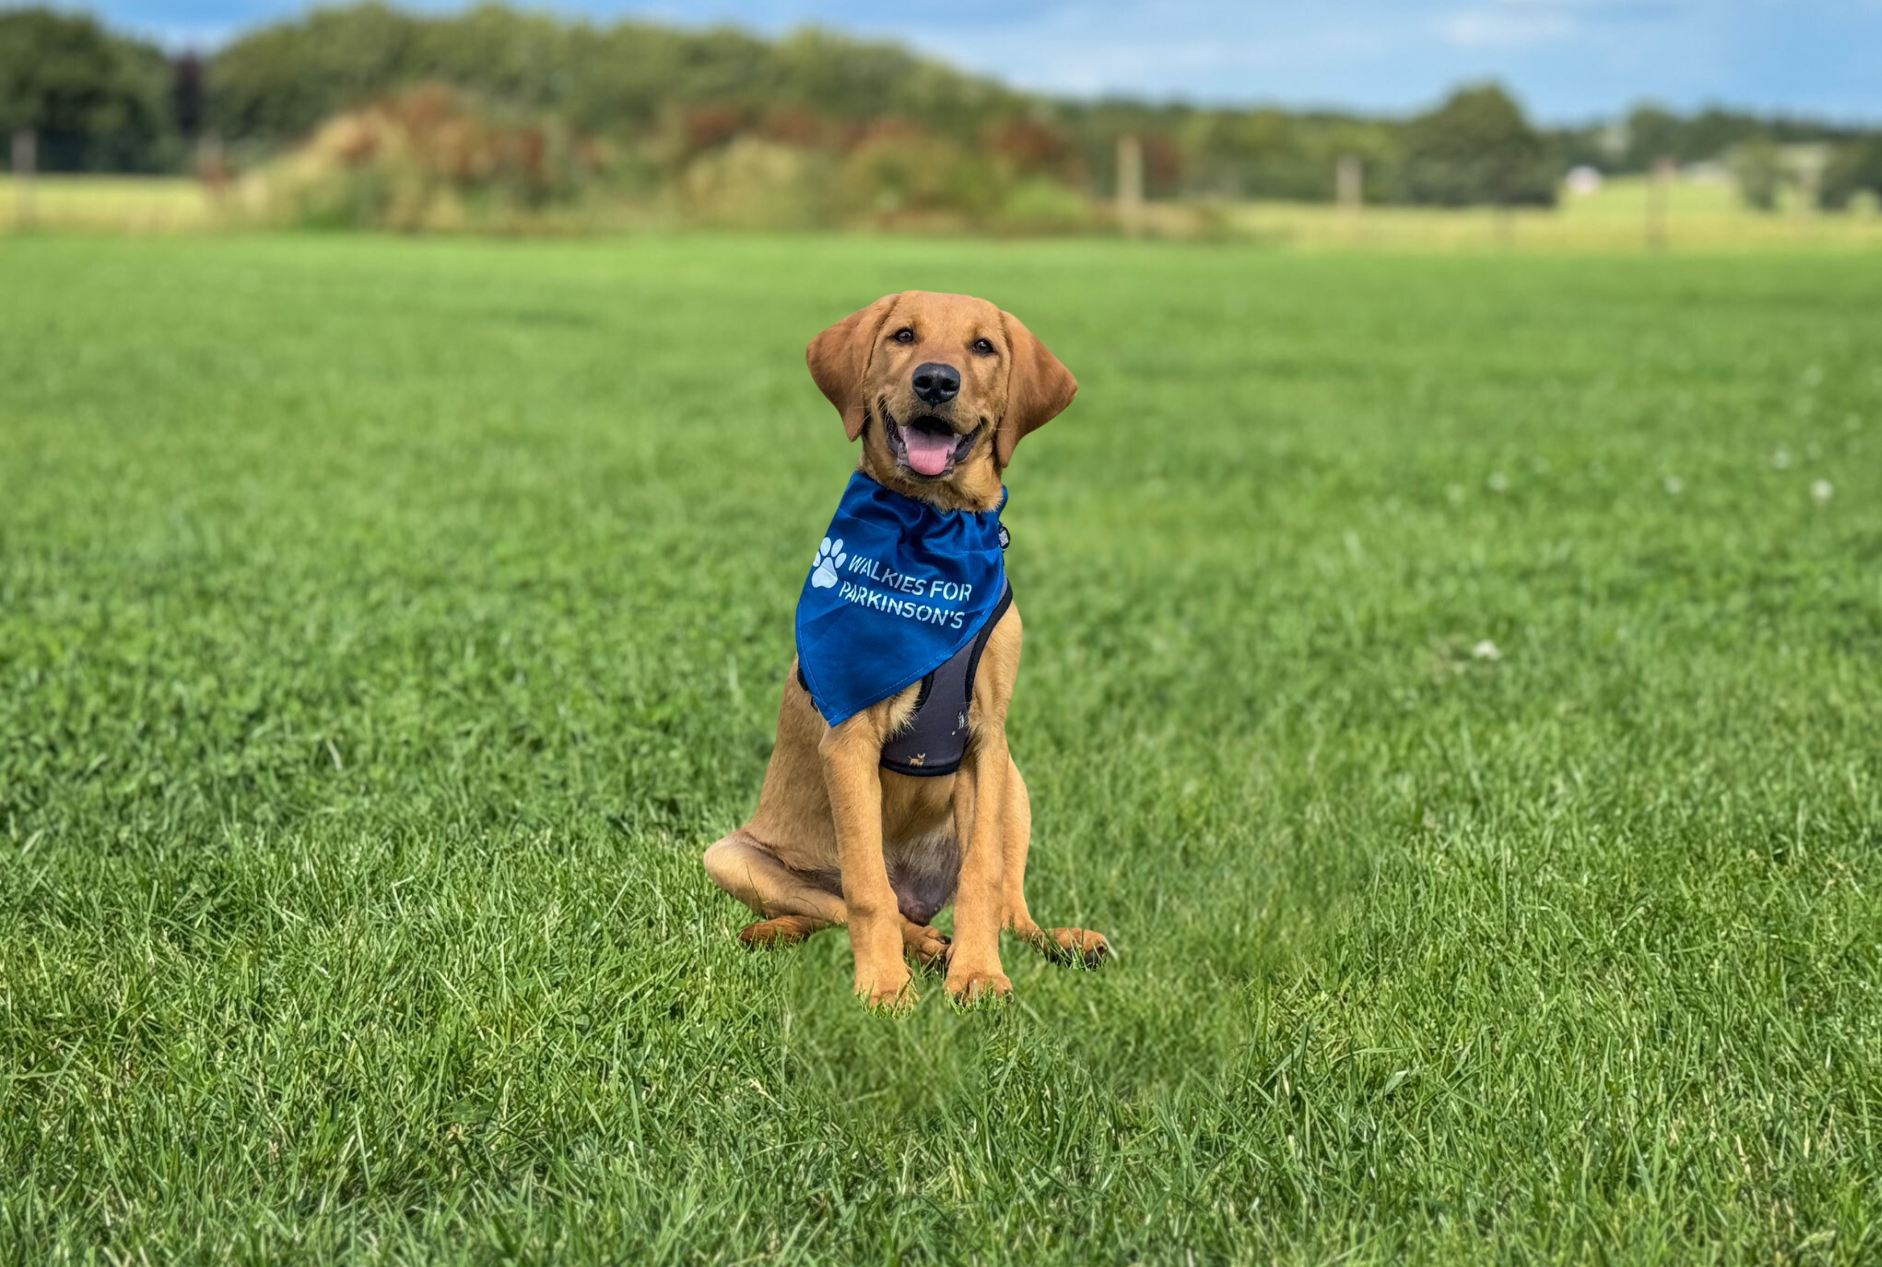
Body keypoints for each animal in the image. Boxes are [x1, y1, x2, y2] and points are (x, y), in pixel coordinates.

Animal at [707, 289, 1114, 1009]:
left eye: (983, 347)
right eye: (902, 336)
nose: (936, 381)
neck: (933, 526)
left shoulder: (986, 740)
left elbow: (982, 877)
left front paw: (978, 974)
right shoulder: (848, 742)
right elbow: (867, 888)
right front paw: (884, 988)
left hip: (1015, 785)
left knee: (1008, 906)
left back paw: (1053, 941)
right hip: (730, 856)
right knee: (852, 907)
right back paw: (921, 948)